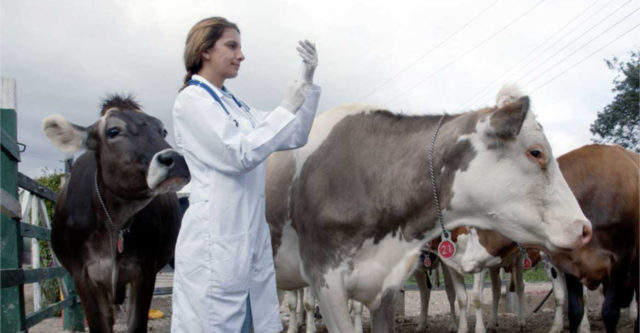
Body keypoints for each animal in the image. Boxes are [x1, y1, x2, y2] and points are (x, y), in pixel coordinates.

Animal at [41, 94, 188, 332]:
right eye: (113, 131)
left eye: (163, 131)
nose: (175, 160)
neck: (114, 223)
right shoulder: (83, 275)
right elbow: (100, 325)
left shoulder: (145, 271)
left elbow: (136, 323)